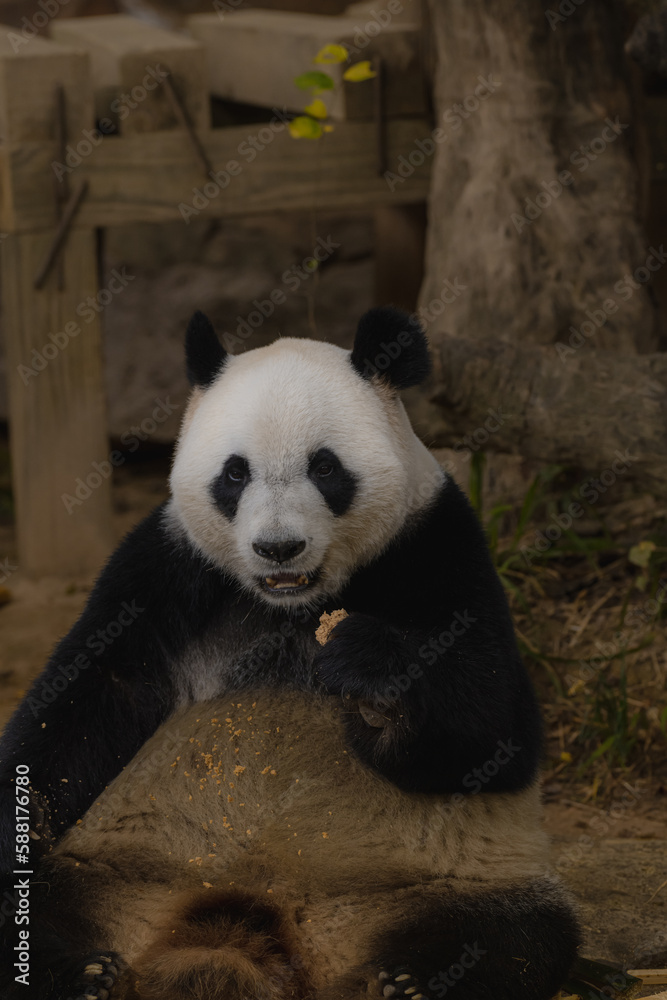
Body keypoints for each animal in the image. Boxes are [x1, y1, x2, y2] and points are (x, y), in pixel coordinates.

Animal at [0, 307, 579, 998]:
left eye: (325, 468)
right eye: (235, 472)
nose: (279, 548)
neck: (293, 604)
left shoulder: (437, 546)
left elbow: (496, 730)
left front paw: (370, 672)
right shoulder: (167, 568)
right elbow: (93, 697)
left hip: (440, 879)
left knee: (515, 932)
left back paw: (409, 980)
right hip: (115, 868)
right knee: (41, 903)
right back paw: (80, 970)